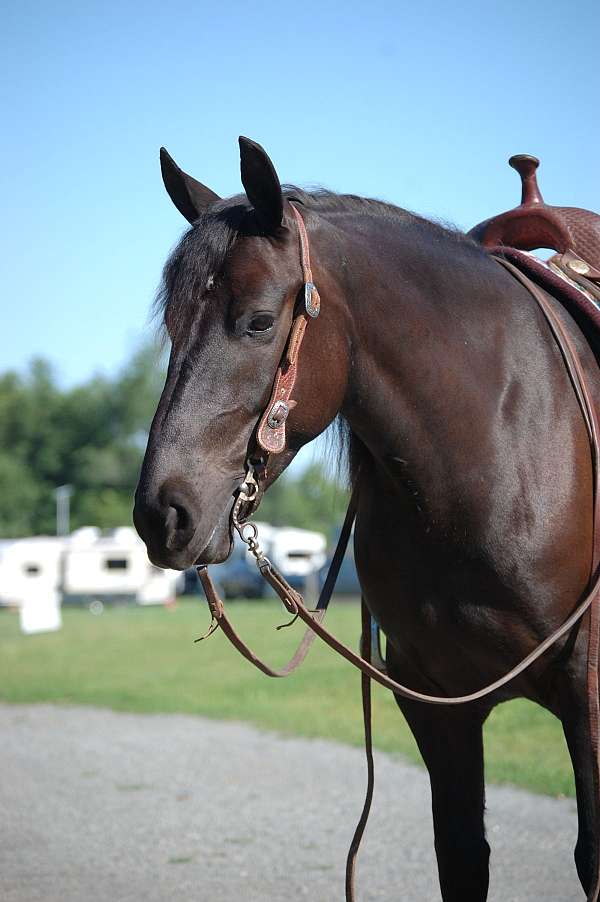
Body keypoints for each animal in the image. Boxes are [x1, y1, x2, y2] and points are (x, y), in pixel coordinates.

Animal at [133, 137, 600, 901]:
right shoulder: (438, 703)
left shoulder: (587, 693)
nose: (162, 513)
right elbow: (462, 857)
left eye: (258, 322)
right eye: (171, 325)